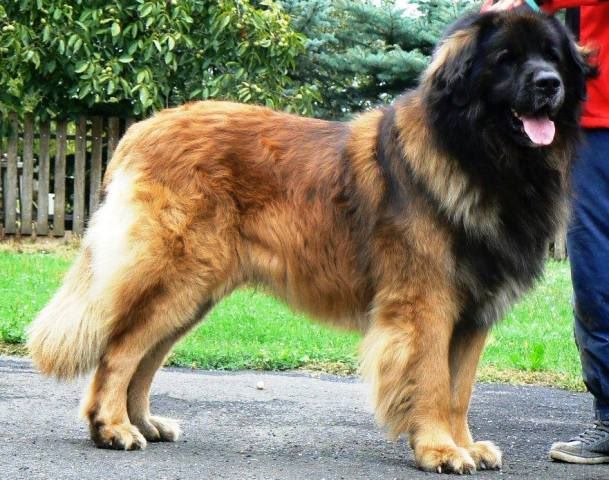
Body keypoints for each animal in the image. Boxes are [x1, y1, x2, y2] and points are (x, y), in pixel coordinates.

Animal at [28, 10, 595, 474]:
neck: (478, 154)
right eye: (505, 60)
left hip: (193, 292)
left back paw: (143, 422)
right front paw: (439, 450)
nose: (549, 84)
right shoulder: (427, 304)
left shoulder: (474, 312)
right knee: (120, 350)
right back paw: (112, 428)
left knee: (144, 355)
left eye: (552, 57)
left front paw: (465, 444)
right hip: (177, 276)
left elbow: (460, 391)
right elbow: (433, 383)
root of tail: (141, 130)